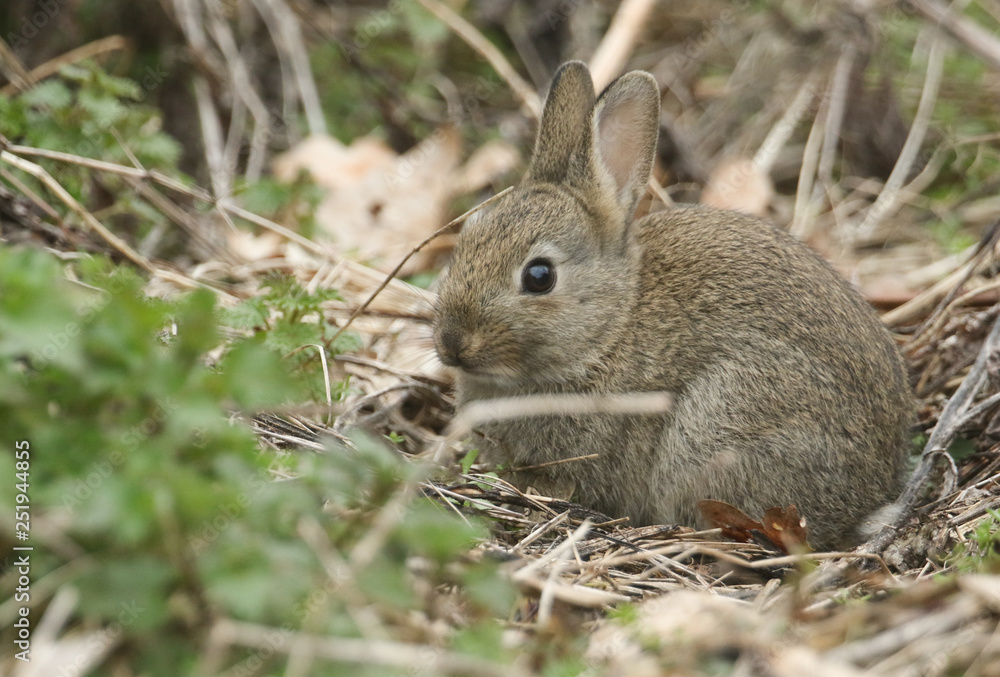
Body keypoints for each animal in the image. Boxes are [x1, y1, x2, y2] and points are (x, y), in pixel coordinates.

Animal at [433, 61, 912, 551]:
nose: (452, 343)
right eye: (467, 237)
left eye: (539, 276)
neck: (608, 332)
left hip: (721, 426)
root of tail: (873, 494)